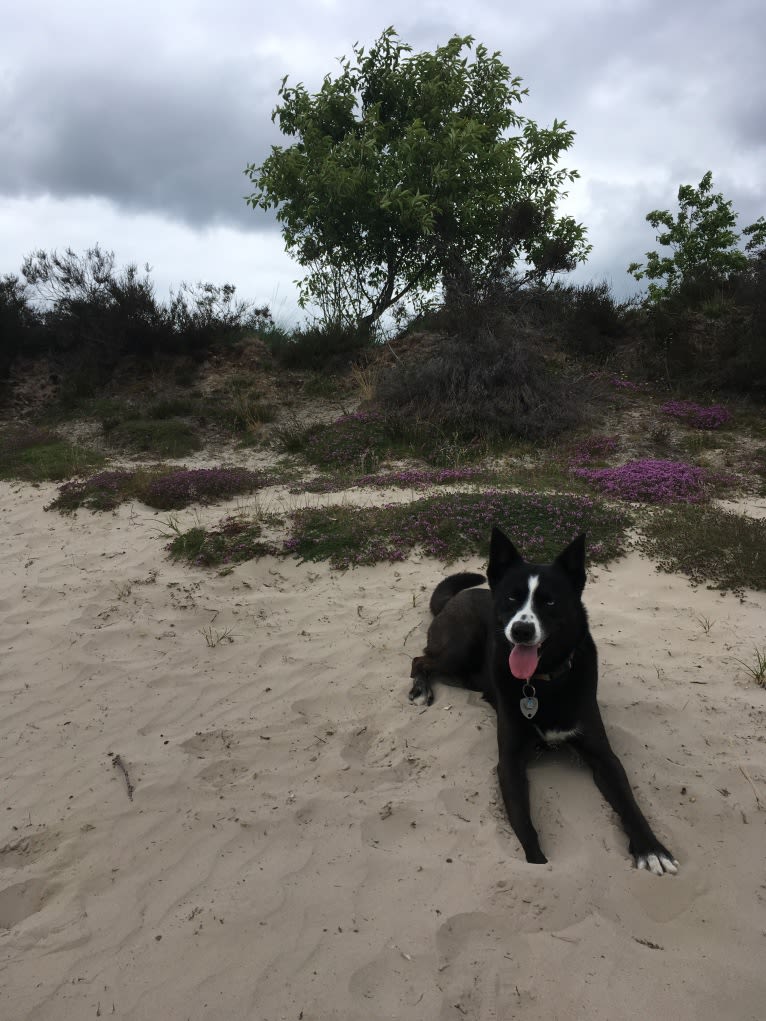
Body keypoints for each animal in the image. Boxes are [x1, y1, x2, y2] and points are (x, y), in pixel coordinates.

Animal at [410, 526, 682, 878]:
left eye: (550, 601)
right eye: (512, 598)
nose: (522, 630)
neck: (541, 682)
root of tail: (454, 599)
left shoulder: (603, 755)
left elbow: (629, 802)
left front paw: (652, 849)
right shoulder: (509, 762)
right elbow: (525, 826)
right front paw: (538, 864)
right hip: (461, 645)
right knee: (420, 659)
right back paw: (420, 690)